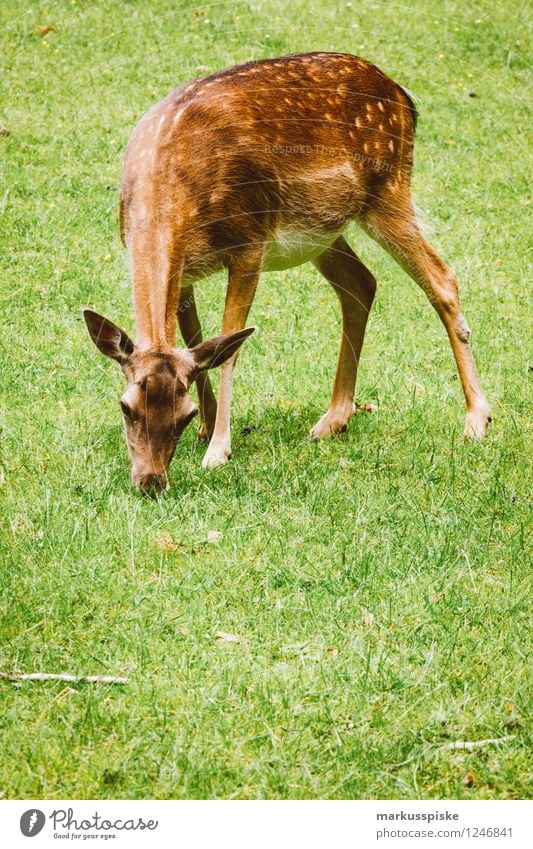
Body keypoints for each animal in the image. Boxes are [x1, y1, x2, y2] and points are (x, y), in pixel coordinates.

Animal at [84, 49, 490, 494]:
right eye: (126, 407)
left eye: (182, 414)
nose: (151, 481)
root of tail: (403, 96)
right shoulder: (185, 271)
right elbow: (198, 340)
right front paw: (209, 428)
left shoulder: (249, 244)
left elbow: (229, 348)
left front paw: (218, 450)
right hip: (325, 231)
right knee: (360, 283)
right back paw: (333, 420)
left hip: (388, 189)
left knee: (442, 278)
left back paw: (477, 419)